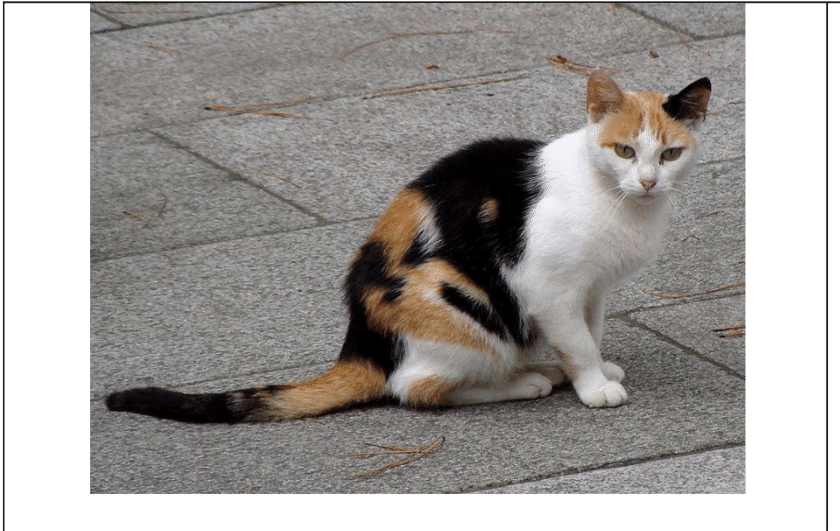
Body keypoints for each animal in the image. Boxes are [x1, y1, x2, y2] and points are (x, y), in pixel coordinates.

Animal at [105, 70, 708, 426]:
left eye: (670, 154)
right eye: (625, 150)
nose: (649, 181)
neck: (617, 200)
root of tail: (360, 345)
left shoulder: (593, 286)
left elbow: (591, 331)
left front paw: (599, 370)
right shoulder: (548, 288)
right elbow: (576, 341)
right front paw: (594, 386)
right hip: (454, 298)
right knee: (416, 388)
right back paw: (526, 379)